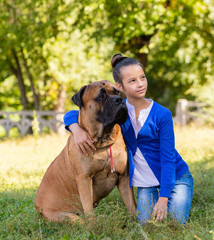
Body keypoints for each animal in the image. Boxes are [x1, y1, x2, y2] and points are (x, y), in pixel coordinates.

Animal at [34, 80, 135, 223]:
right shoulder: (84, 179)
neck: (103, 141)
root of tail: (37, 205)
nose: (119, 99)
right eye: (101, 96)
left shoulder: (124, 178)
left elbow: (132, 204)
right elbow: (88, 207)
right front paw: (93, 225)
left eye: (117, 92)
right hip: (65, 216)